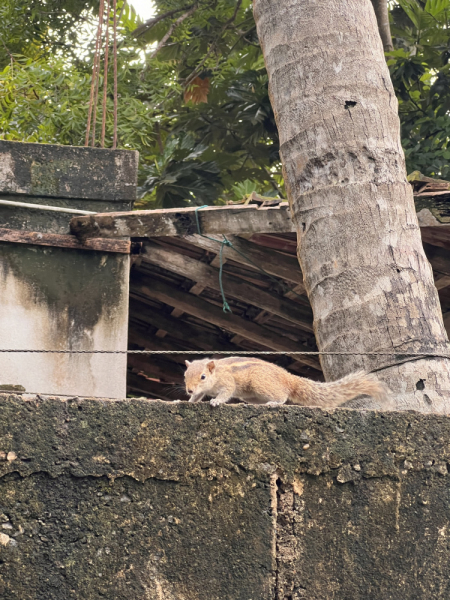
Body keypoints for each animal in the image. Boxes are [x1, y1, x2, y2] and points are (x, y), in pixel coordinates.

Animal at [183, 356, 386, 408]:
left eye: (203, 376)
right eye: (185, 375)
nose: (189, 390)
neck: (216, 373)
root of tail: (288, 377)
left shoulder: (227, 382)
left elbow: (226, 392)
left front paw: (216, 401)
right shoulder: (201, 391)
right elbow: (198, 397)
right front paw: (186, 400)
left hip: (261, 384)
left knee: (283, 396)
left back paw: (274, 403)